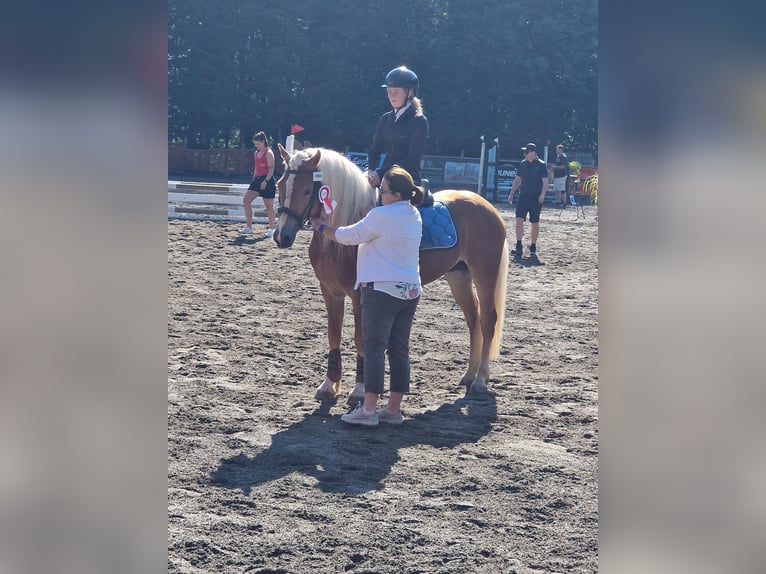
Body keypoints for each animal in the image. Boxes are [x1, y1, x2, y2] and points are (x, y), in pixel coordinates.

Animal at [272, 143, 508, 404]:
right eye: (280, 185)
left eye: (306, 191)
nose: (281, 236)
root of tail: (485, 205)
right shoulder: (330, 291)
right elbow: (333, 334)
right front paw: (328, 385)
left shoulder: (360, 294)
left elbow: (360, 338)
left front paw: (359, 389)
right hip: (458, 276)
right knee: (473, 318)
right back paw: (468, 374)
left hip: (485, 274)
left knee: (488, 320)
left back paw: (480, 379)